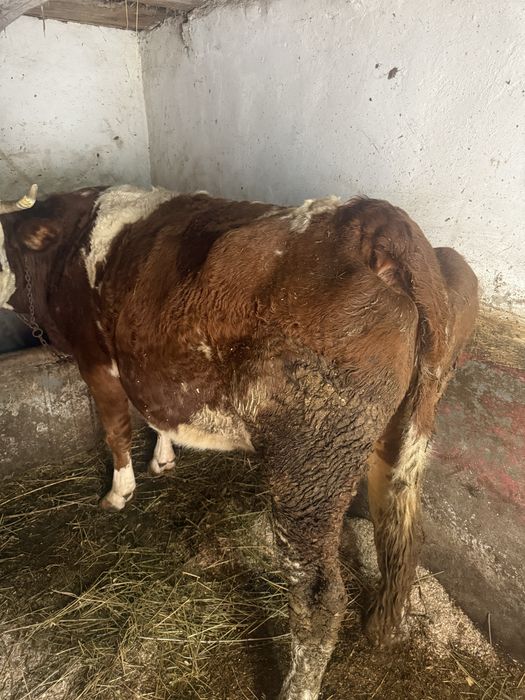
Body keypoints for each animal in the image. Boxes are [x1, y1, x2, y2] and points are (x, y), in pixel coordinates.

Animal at [0, 183, 478, 700]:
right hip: (406, 437)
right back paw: (385, 629)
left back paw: (297, 687)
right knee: (402, 532)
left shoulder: (96, 359)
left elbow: (117, 428)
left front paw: (118, 493)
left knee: (319, 594)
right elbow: (156, 414)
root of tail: (374, 222)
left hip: (310, 465)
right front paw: (163, 461)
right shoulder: (146, 360)